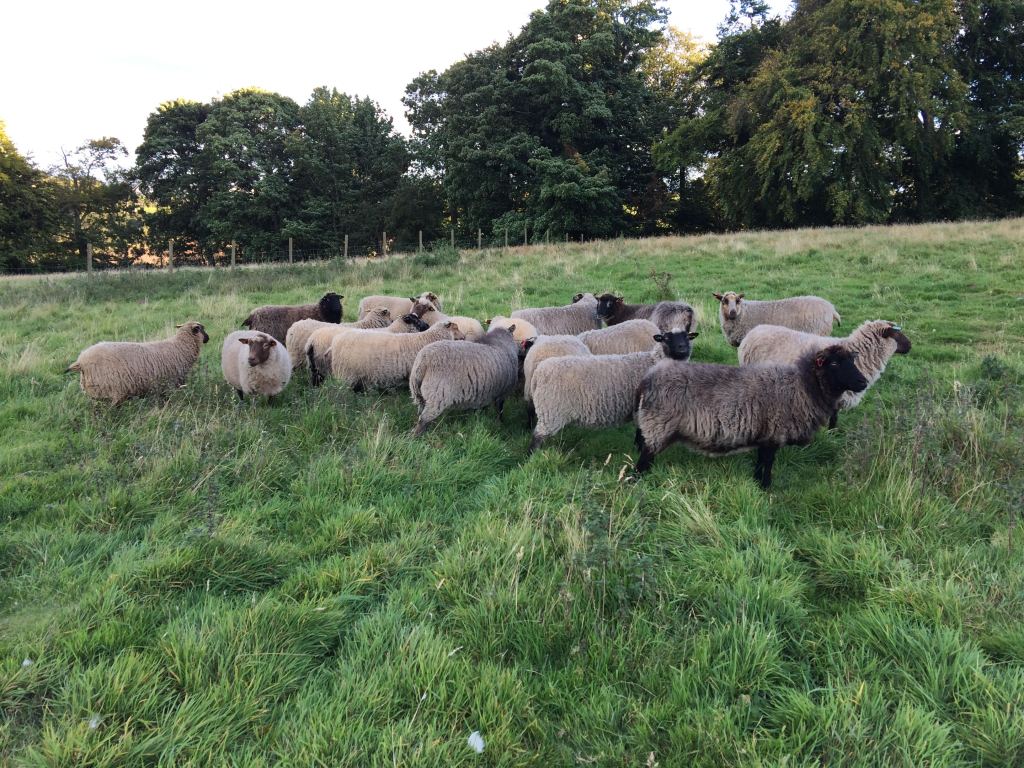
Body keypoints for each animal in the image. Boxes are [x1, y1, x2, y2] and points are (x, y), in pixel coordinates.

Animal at [67, 321, 210, 405]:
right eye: (201, 329)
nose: (208, 338)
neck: (180, 346)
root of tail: (81, 361)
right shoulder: (170, 383)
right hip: (112, 389)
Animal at [528, 330, 698, 452]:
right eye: (666, 338)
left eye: (687, 337)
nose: (682, 348)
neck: (653, 361)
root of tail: (538, 372)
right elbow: (641, 434)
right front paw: (638, 449)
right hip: (551, 410)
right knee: (537, 436)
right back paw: (533, 456)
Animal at [634, 345, 868, 489]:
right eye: (834, 364)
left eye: (852, 361)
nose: (863, 382)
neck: (803, 386)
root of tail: (648, 378)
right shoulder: (775, 432)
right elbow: (768, 462)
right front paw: (766, 487)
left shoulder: (766, 435)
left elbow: (761, 460)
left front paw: (757, 482)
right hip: (658, 426)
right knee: (644, 457)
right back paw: (638, 480)